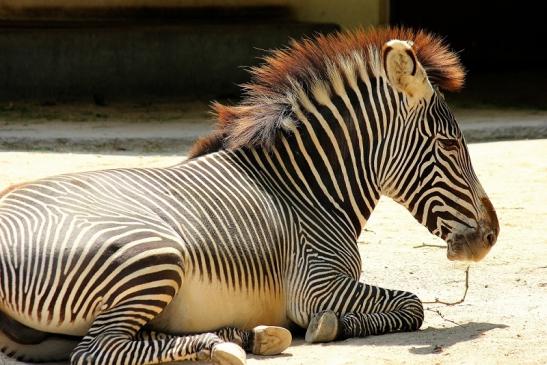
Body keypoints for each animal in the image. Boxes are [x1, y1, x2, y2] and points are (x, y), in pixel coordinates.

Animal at [0, 28, 500, 364]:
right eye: (449, 145)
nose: (491, 237)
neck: (305, 189)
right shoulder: (317, 286)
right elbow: (411, 305)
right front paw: (328, 327)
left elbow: (409, 304)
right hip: (152, 256)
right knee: (97, 349)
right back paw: (219, 345)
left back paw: (250, 335)